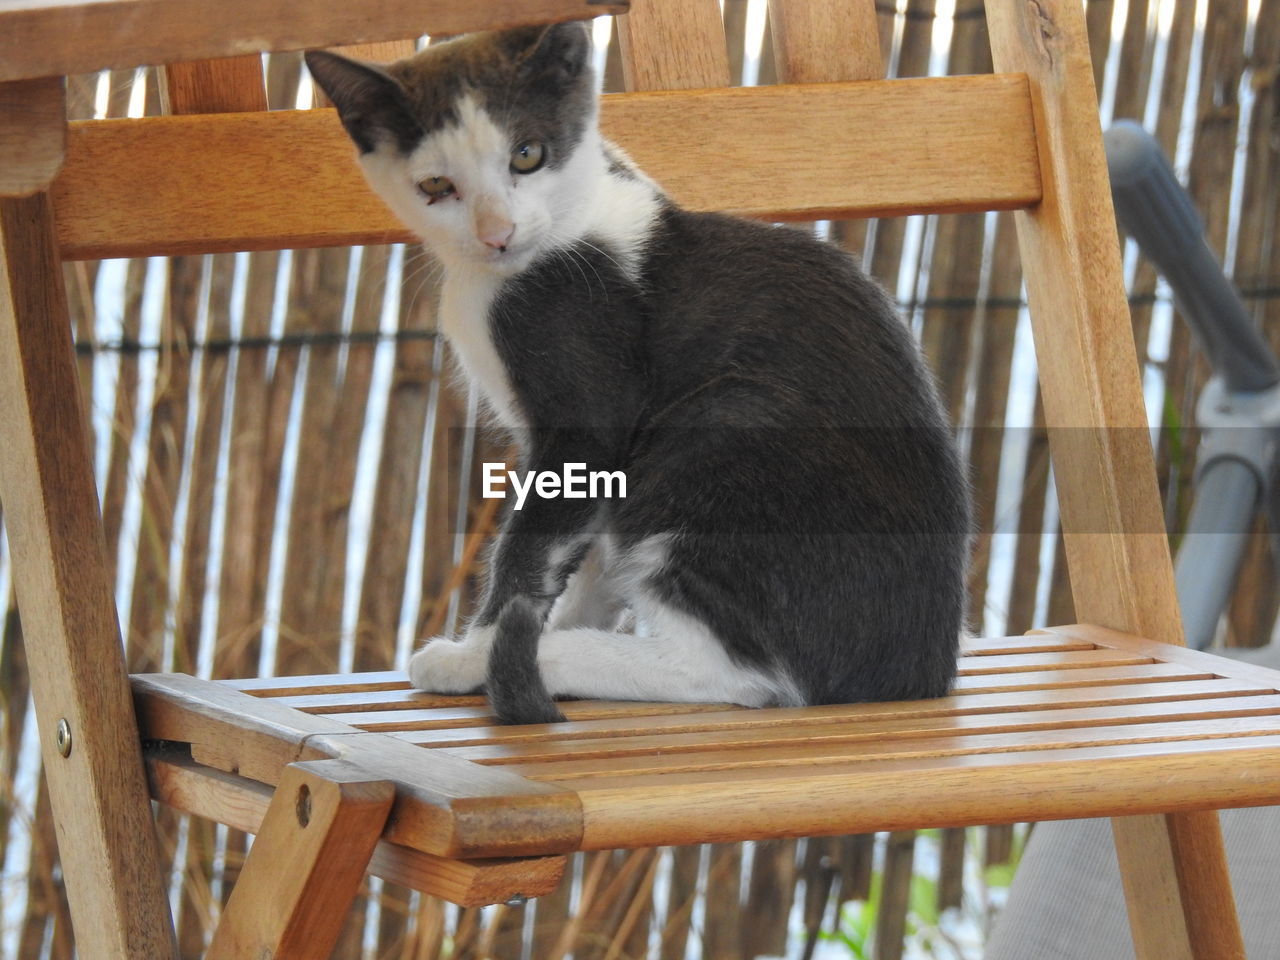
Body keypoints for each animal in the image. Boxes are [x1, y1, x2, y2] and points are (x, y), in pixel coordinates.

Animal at [307, 18, 967, 727]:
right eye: (436, 186)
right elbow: (586, 554)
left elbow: (531, 549)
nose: (497, 233)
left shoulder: (587, 407)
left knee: (744, 674)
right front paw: (552, 623)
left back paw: (554, 658)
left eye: (526, 155)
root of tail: (923, 672)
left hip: (725, 427)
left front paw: (474, 653)